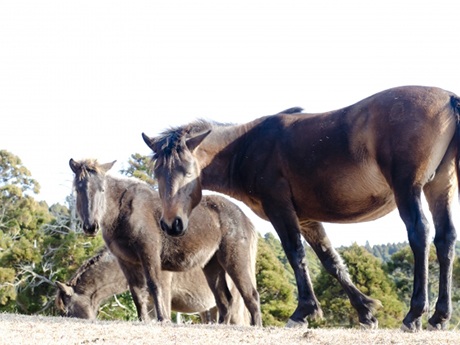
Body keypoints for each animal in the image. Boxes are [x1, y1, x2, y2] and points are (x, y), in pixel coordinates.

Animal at [143, 84, 460, 330]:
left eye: (187, 172)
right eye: (158, 174)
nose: (171, 224)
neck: (246, 146)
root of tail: (448, 98)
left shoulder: (280, 209)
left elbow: (296, 254)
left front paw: (303, 312)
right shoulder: (307, 219)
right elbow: (331, 261)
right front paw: (366, 311)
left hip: (408, 189)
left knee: (420, 234)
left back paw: (415, 313)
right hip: (439, 187)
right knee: (445, 239)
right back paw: (439, 317)